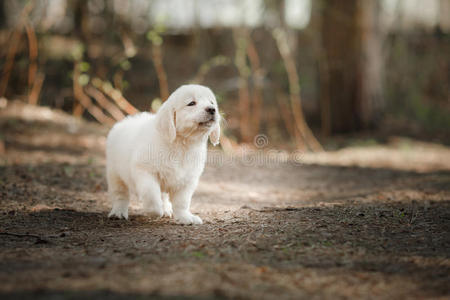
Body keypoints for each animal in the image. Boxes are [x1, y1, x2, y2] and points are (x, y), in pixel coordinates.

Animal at [104, 83, 219, 224]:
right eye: (191, 103)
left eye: (211, 102)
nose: (212, 109)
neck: (182, 145)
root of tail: (125, 121)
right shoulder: (145, 171)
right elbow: (151, 195)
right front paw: (154, 211)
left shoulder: (187, 180)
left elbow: (182, 202)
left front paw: (185, 217)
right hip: (114, 173)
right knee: (120, 194)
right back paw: (118, 212)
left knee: (163, 196)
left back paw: (166, 209)